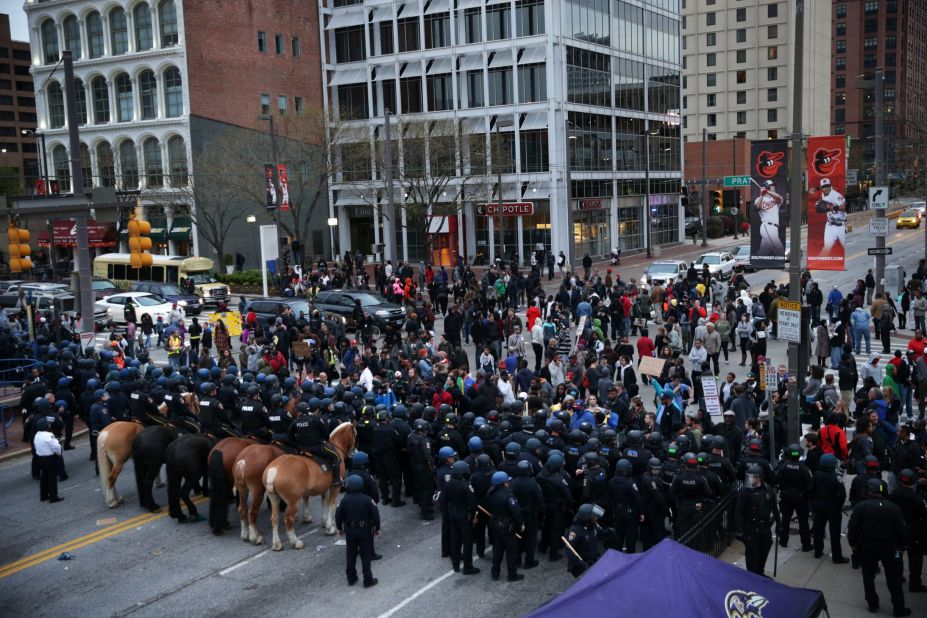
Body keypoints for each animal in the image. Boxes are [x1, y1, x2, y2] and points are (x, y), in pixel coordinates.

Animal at [266, 418, 360, 548]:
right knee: (288, 519)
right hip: (293, 501)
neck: (336, 447)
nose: (354, 451)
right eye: (355, 434)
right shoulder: (335, 487)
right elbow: (331, 504)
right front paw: (330, 527)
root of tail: (274, 470)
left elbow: (323, 502)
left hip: (274, 498)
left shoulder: (323, 487)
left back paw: (277, 544)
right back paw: (295, 542)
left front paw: (323, 521)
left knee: (274, 519)